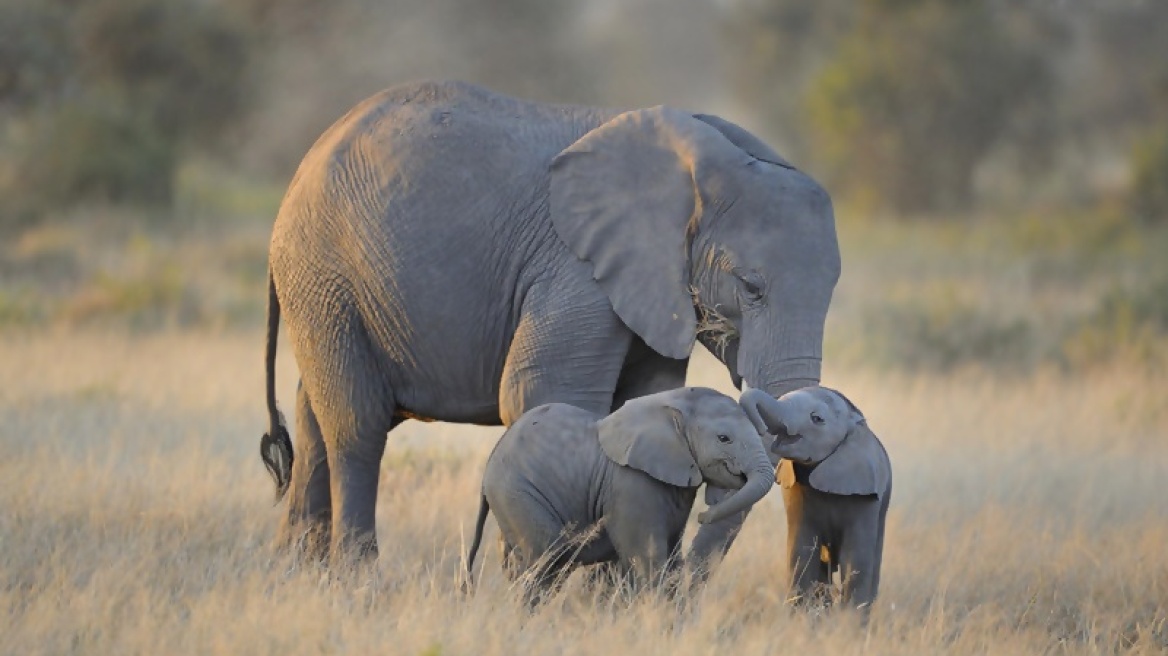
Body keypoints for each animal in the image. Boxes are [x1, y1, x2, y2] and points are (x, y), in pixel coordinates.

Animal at [260, 80, 840, 562]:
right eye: (751, 287)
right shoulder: (575, 269)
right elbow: (542, 392)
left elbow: (643, 400)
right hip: (324, 272)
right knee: (356, 426)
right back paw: (358, 582)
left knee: (314, 419)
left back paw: (297, 577)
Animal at [464, 385, 775, 602]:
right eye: (724, 439)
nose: (703, 515)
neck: (672, 404)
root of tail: (487, 472)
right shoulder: (631, 484)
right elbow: (648, 559)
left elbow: (671, 559)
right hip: (518, 493)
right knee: (545, 562)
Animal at [738, 385, 892, 611]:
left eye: (817, 419)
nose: (760, 429)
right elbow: (801, 553)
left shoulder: (865, 494)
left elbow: (855, 559)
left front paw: (848, 620)